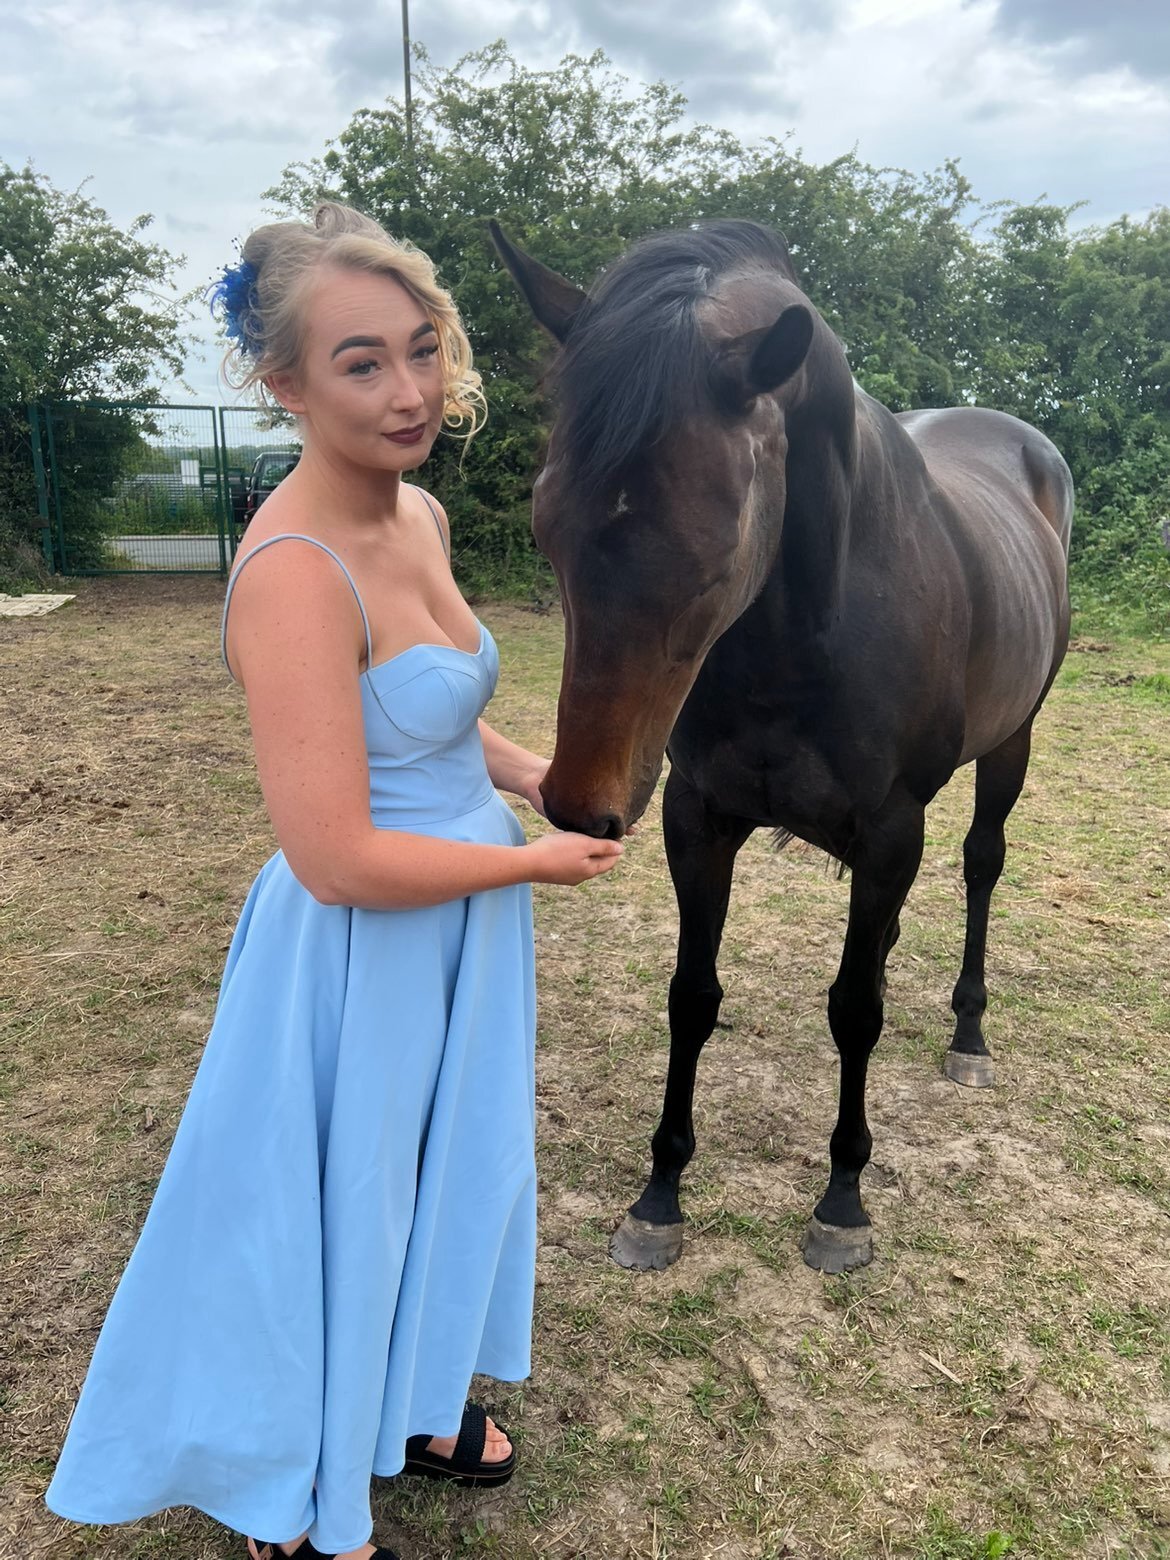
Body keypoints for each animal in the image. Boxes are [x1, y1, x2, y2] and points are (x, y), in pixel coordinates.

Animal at [491, 218, 1073, 1274]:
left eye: (715, 554)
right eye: (546, 525)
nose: (581, 804)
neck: (804, 635)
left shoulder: (888, 828)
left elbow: (854, 1012)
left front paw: (842, 1201)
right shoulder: (697, 817)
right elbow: (692, 995)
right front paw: (658, 1196)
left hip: (1012, 742)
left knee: (981, 865)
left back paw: (969, 1035)